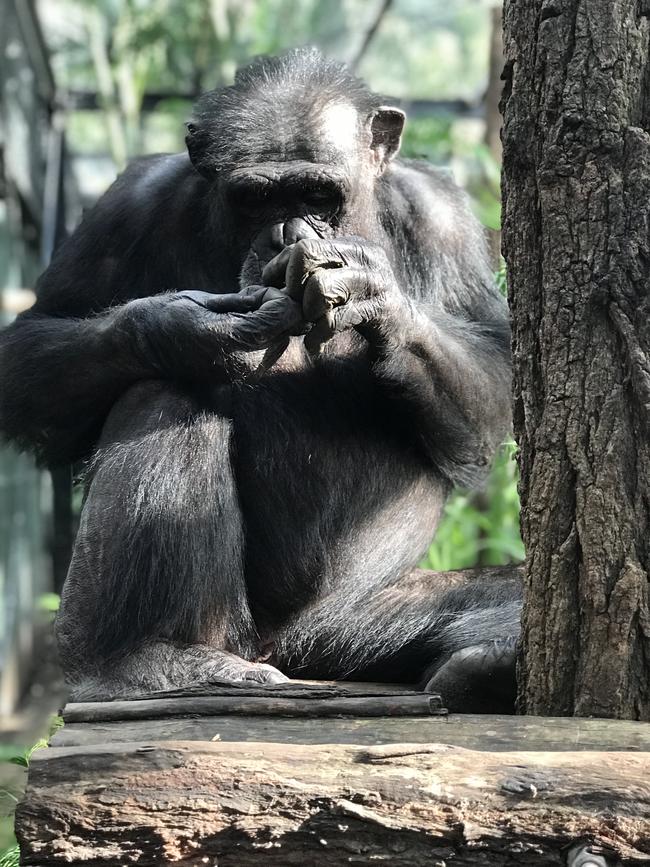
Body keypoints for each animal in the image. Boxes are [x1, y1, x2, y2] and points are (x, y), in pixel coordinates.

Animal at [0, 49, 520, 712]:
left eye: (317, 195)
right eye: (255, 200)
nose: (287, 232)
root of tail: (294, 650)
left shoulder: (443, 216)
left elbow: (491, 370)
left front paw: (376, 295)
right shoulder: (127, 206)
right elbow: (30, 350)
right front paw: (181, 329)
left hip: (358, 622)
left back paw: (490, 664)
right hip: (237, 629)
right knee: (161, 395)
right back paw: (138, 660)